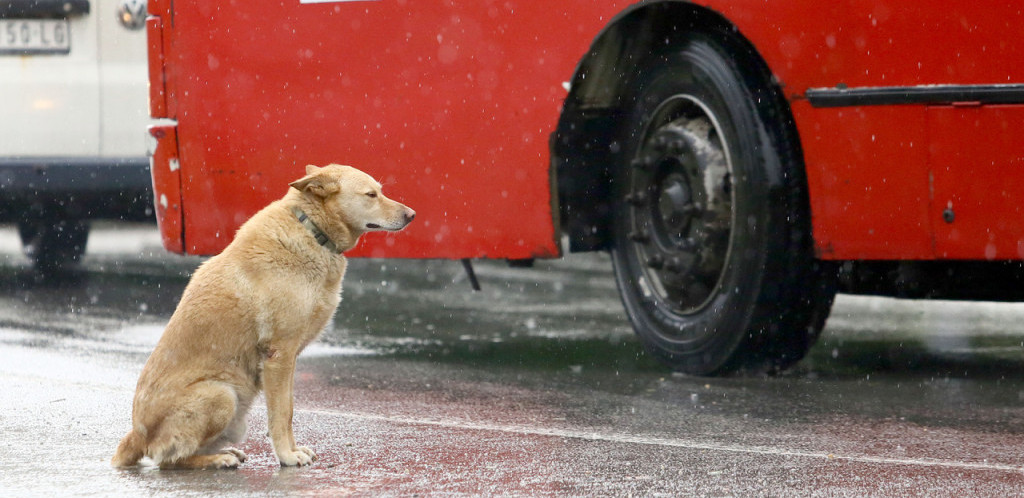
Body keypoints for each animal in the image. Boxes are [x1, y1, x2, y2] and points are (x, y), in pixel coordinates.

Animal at [113, 162, 415, 467]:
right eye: (371, 195)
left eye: (380, 191)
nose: (412, 215)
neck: (313, 231)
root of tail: (136, 437)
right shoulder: (279, 355)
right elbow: (281, 414)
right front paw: (287, 456)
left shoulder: (289, 360)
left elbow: (289, 408)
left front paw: (293, 450)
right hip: (222, 395)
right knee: (169, 460)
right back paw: (217, 460)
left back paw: (225, 452)